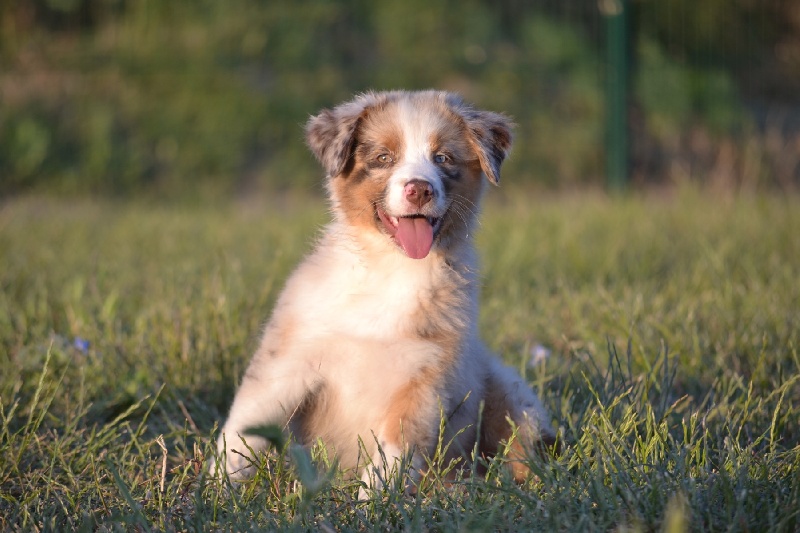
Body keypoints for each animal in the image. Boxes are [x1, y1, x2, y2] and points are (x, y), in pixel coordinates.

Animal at [216, 89, 560, 492]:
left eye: (442, 158)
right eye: (383, 158)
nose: (420, 188)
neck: (392, 269)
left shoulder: (426, 377)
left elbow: (394, 447)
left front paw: (373, 498)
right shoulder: (289, 358)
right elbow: (246, 424)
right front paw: (218, 485)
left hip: (510, 393)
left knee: (521, 450)